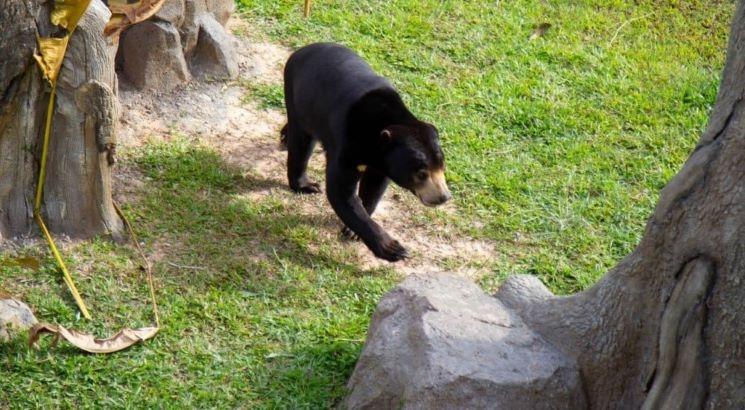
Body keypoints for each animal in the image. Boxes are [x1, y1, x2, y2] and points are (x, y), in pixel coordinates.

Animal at [282, 42, 450, 262]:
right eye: (422, 173)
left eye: (442, 166)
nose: (443, 197)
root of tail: (303, 49)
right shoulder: (347, 143)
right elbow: (341, 192)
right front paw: (394, 249)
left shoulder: (382, 163)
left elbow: (373, 188)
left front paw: (352, 231)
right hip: (299, 99)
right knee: (302, 143)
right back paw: (306, 184)